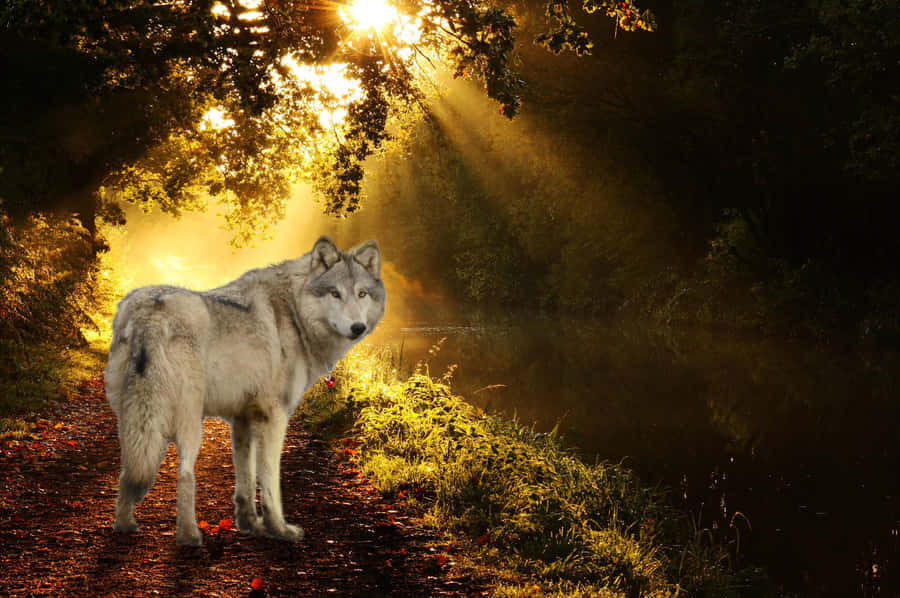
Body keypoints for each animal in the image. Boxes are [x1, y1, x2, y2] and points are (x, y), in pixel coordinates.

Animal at [105, 236, 385, 545]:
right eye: (335, 293)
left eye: (361, 294)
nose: (357, 327)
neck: (295, 313)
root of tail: (149, 313)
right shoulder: (274, 418)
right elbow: (270, 481)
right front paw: (279, 529)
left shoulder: (242, 420)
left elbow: (246, 481)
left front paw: (250, 524)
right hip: (189, 423)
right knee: (185, 475)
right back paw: (189, 536)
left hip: (132, 421)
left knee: (127, 471)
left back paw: (124, 524)